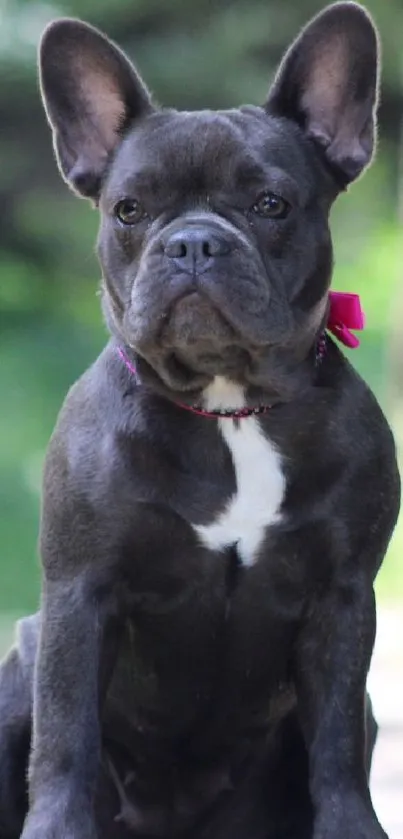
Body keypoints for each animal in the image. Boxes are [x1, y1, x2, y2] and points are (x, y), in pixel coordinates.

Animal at [0, 4, 400, 839]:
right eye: (129, 209)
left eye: (269, 204)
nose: (192, 241)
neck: (229, 408)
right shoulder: (80, 593)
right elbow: (66, 736)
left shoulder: (343, 597)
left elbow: (336, 746)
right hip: (18, 660)